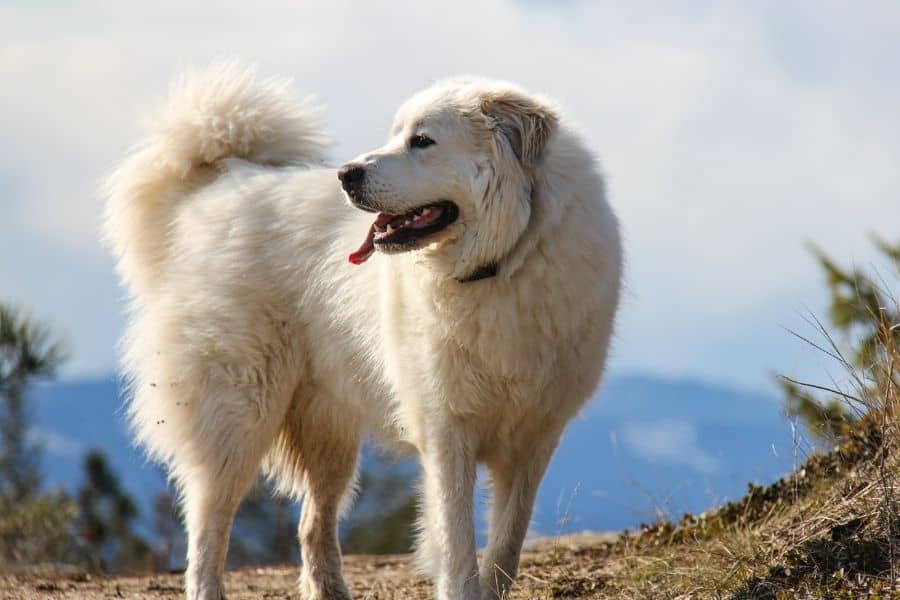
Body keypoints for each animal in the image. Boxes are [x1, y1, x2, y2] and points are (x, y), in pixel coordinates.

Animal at [103, 63, 620, 596]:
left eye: (422, 141)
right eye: (396, 135)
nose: (346, 174)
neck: (503, 261)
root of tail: (219, 185)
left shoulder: (535, 437)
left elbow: (506, 545)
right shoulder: (446, 430)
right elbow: (456, 542)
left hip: (329, 433)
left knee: (312, 522)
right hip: (238, 414)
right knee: (209, 526)